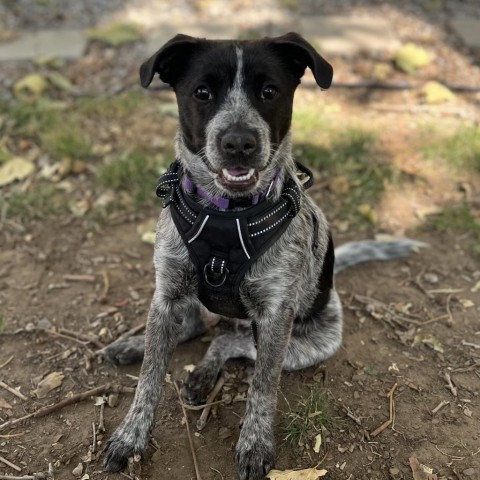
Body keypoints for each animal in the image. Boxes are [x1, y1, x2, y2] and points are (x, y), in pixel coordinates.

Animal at [102, 33, 424, 480]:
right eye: (202, 92)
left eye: (269, 91)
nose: (239, 143)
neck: (227, 214)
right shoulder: (165, 295)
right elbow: (149, 375)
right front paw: (130, 435)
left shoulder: (274, 318)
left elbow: (262, 386)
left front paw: (255, 444)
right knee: (193, 328)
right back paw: (135, 347)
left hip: (306, 345)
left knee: (227, 340)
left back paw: (203, 375)